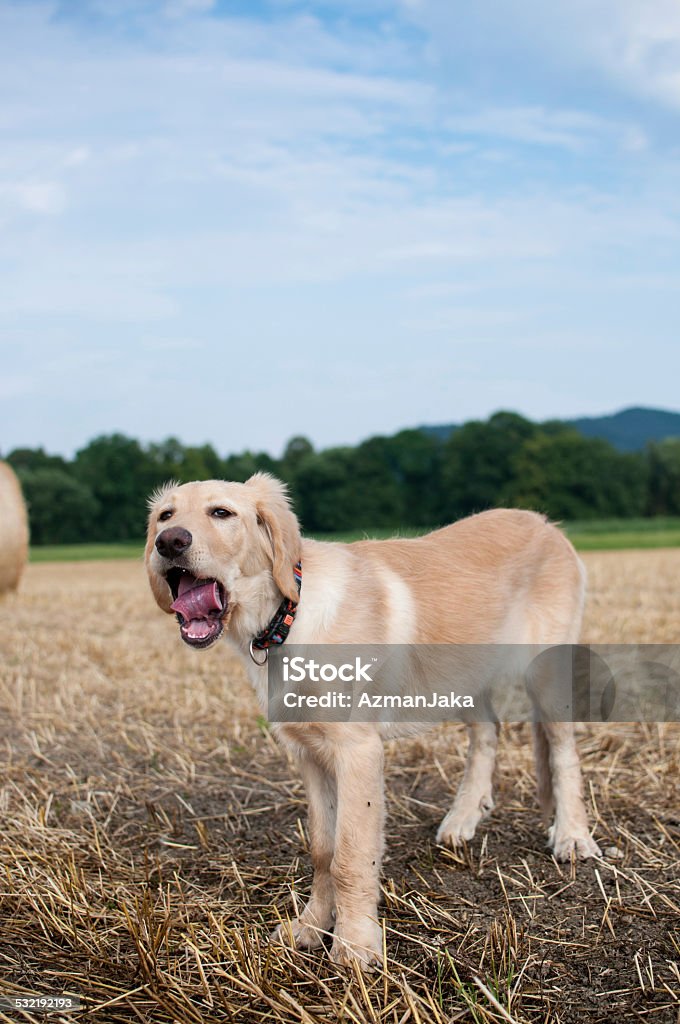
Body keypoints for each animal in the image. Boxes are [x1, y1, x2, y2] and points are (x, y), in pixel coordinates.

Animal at [147, 471, 602, 966]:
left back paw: (573, 836)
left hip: (547, 671)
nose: (170, 542)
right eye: (165, 515)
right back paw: (463, 818)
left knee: (564, 753)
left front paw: (354, 946)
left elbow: (350, 854)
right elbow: (323, 849)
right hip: (469, 674)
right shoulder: (310, 754)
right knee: (487, 736)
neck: (289, 616)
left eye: (221, 513)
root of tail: (545, 523)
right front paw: (310, 927)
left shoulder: (357, 750)